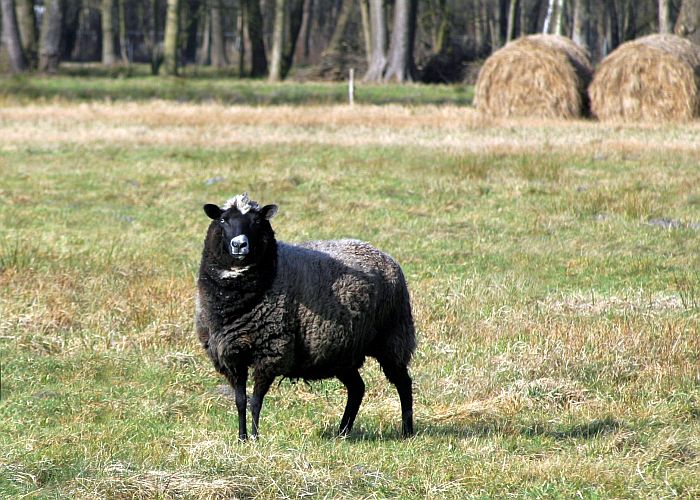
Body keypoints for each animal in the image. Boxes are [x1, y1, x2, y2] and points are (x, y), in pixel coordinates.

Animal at [195, 193, 416, 440]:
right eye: (223, 220)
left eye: (257, 221)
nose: (239, 245)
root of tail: (382, 254)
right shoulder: (231, 355)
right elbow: (240, 401)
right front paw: (242, 438)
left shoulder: (271, 351)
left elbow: (256, 402)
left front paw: (254, 438)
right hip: (343, 350)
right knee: (357, 388)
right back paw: (342, 432)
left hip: (393, 336)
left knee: (403, 383)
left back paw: (407, 431)